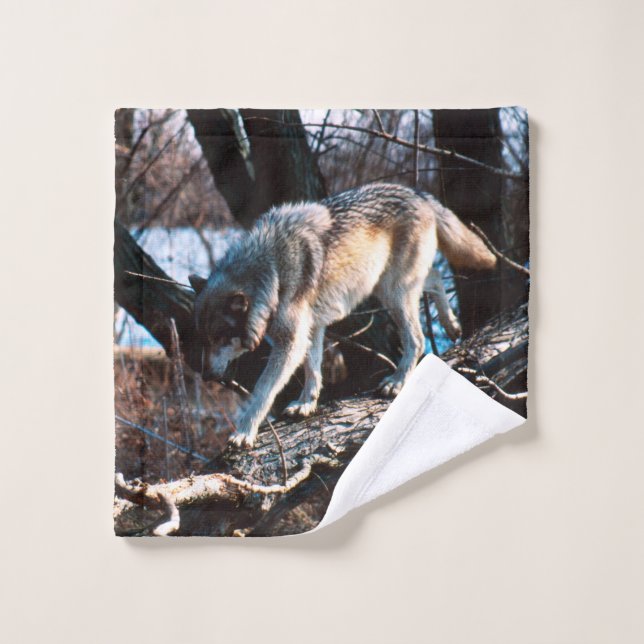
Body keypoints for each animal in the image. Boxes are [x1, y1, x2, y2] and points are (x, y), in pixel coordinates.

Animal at [189, 183, 496, 448]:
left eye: (220, 339)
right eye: (202, 340)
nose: (205, 375)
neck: (271, 271)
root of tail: (417, 193)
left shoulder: (290, 344)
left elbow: (262, 392)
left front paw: (244, 432)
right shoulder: (311, 330)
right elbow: (313, 369)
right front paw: (306, 404)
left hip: (393, 293)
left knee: (418, 339)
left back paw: (397, 381)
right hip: (389, 287)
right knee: (434, 278)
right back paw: (452, 325)